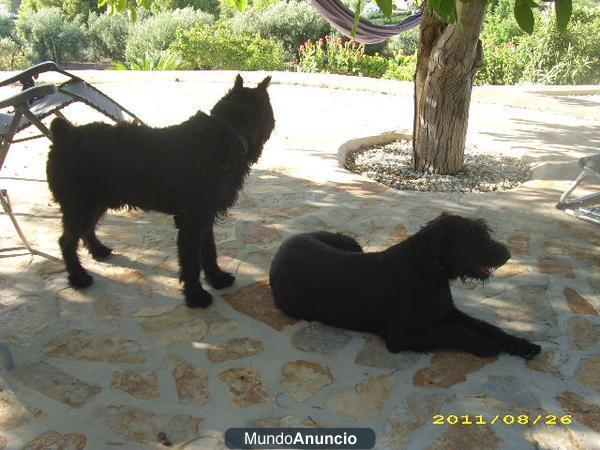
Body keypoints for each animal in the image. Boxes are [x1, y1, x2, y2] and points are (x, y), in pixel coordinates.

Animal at [48, 75, 274, 308]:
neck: (229, 131)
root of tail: (65, 133)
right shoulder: (191, 222)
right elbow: (191, 262)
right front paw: (195, 295)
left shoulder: (205, 218)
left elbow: (209, 251)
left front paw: (216, 278)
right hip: (81, 205)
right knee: (66, 241)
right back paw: (78, 277)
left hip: (95, 203)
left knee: (86, 230)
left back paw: (98, 250)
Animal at [270, 214, 540, 358]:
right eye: (476, 237)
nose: (507, 254)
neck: (428, 268)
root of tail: (284, 244)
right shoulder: (401, 336)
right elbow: (452, 330)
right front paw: (485, 345)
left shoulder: (447, 312)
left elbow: (486, 326)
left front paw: (523, 345)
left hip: (353, 244)